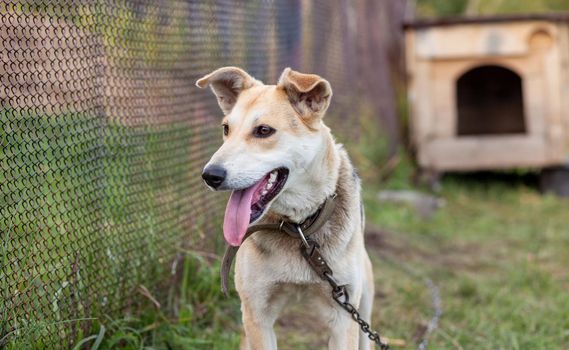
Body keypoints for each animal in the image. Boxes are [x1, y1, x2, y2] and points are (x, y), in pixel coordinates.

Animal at [197, 67, 374, 348]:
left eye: (263, 130)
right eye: (226, 129)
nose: (210, 176)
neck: (298, 227)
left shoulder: (343, 315)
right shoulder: (257, 314)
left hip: (364, 298)